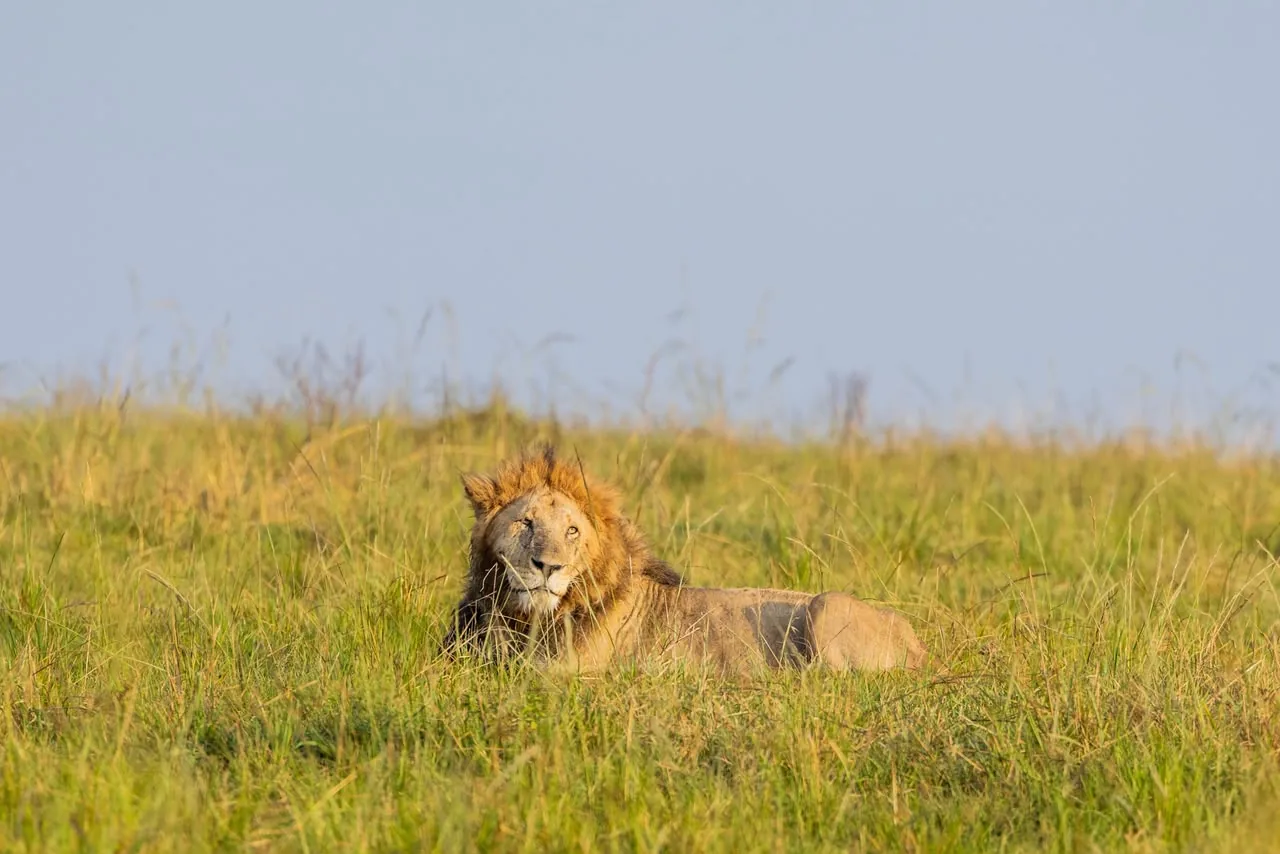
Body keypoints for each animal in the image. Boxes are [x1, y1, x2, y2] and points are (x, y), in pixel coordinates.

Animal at [441, 446, 926, 675]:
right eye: (525, 523)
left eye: (572, 531)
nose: (549, 566)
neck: (521, 617)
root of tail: (921, 649)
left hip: (827, 605)